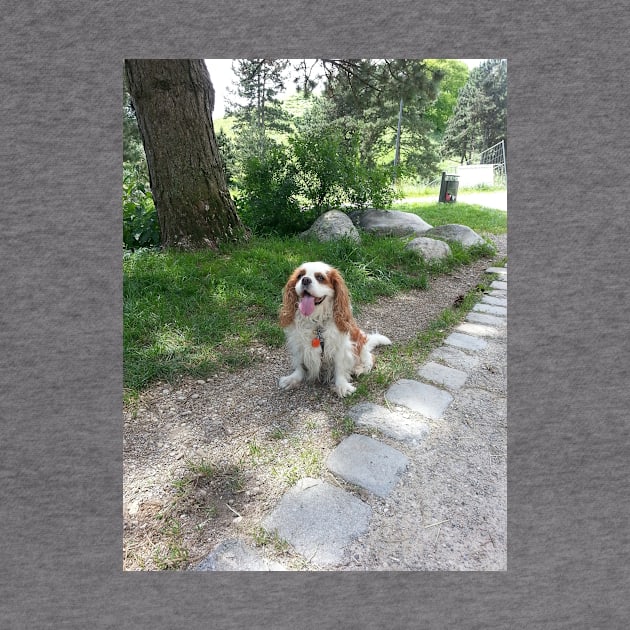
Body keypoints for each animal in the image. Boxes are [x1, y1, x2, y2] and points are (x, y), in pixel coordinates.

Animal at [280, 264, 392, 398]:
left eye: (320, 277)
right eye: (300, 276)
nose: (305, 280)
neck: (316, 323)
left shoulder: (340, 347)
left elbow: (340, 368)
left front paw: (342, 386)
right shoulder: (299, 345)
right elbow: (300, 365)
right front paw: (293, 378)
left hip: (360, 344)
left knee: (370, 358)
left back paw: (360, 368)